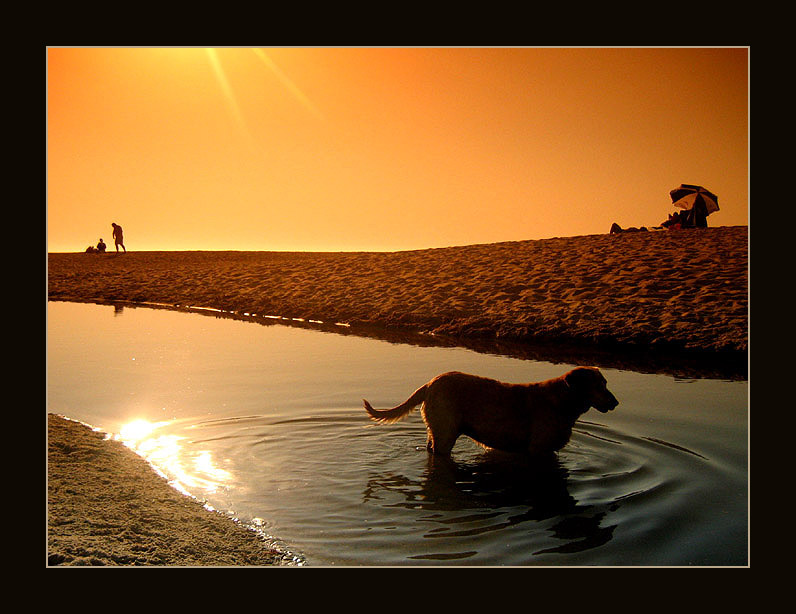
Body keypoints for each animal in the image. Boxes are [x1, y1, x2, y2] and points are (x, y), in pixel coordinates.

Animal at [364, 366, 620, 458]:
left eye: (606, 383)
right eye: (599, 386)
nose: (616, 402)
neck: (563, 399)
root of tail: (429, 384)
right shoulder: (538, 450)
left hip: (437, 431)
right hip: (446, 434)